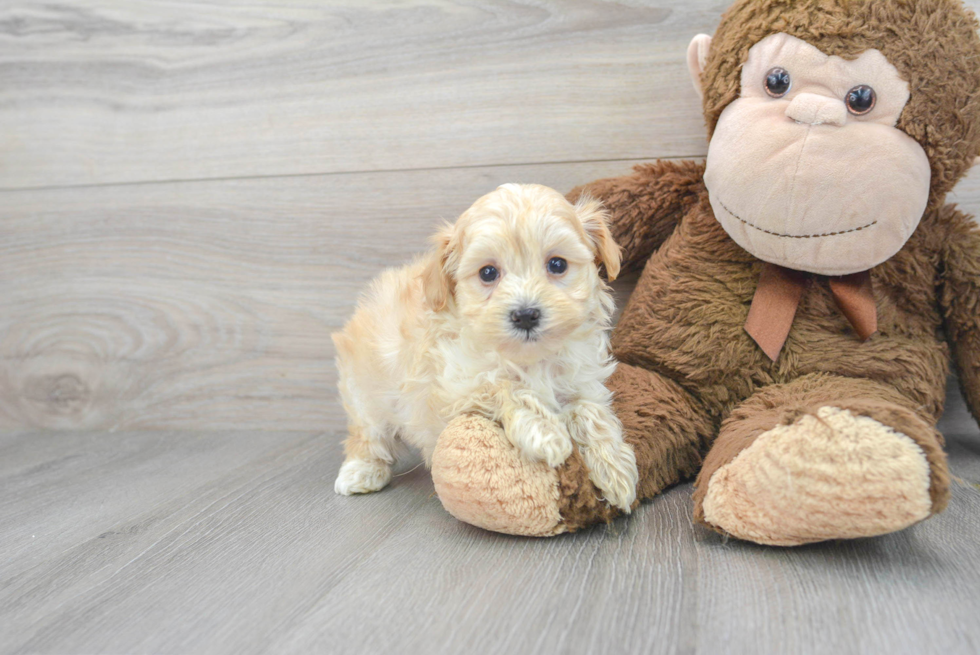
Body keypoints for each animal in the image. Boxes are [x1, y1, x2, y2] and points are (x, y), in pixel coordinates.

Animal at [334, 183, 640, 512]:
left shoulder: (582, 380)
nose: (525, 314)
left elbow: (590, 411)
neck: (530, 358)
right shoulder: (453, 388)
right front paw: (546, 432)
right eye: (488, 273)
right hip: (365, 392)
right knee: (368, 435)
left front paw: (616, 469)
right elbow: (502, 385)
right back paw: (361, 472)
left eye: (557, 264)